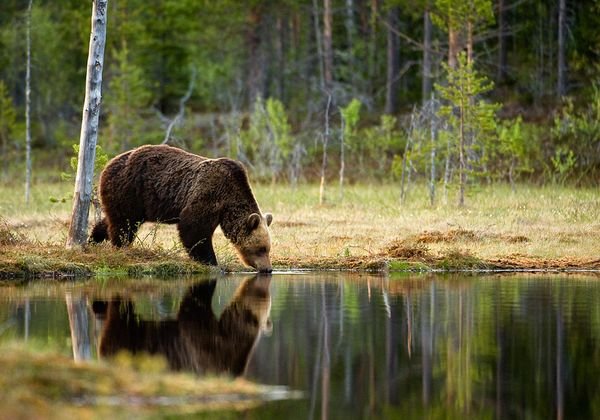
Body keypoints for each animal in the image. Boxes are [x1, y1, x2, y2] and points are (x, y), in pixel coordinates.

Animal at [89, 144, 274, 272]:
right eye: (261, 248)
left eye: (268, 248)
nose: (268, 269)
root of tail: (109, 163)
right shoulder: (209, 194)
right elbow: (194, 229)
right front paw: (211, 261)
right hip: (129, 189)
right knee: (123, 224)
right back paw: (120, 247)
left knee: (114, 220)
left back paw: (94, 238)